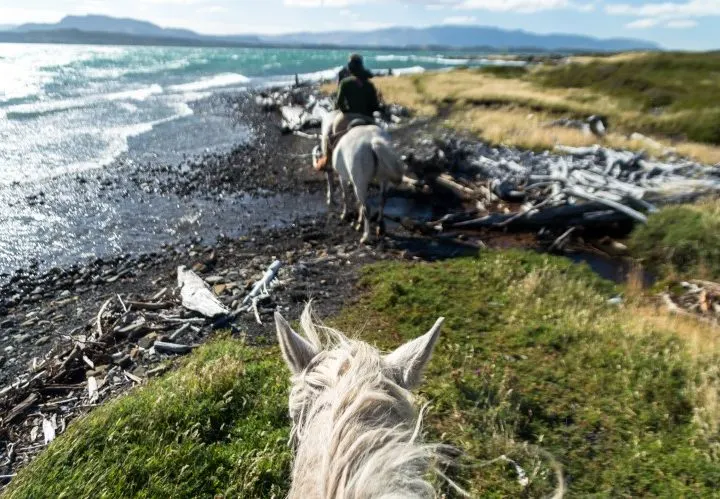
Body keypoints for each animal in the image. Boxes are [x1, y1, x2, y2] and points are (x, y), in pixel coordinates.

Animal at [314, 110, 408, 245]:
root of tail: (373, 143)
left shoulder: (344, 178)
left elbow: (345, 196)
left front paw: (345, 215)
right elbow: (358, 202)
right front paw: (358, 223)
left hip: (361, 183)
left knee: (367, 208)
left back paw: (366, 237)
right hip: (382, 180)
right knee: (382, 200)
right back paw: (380, 227)